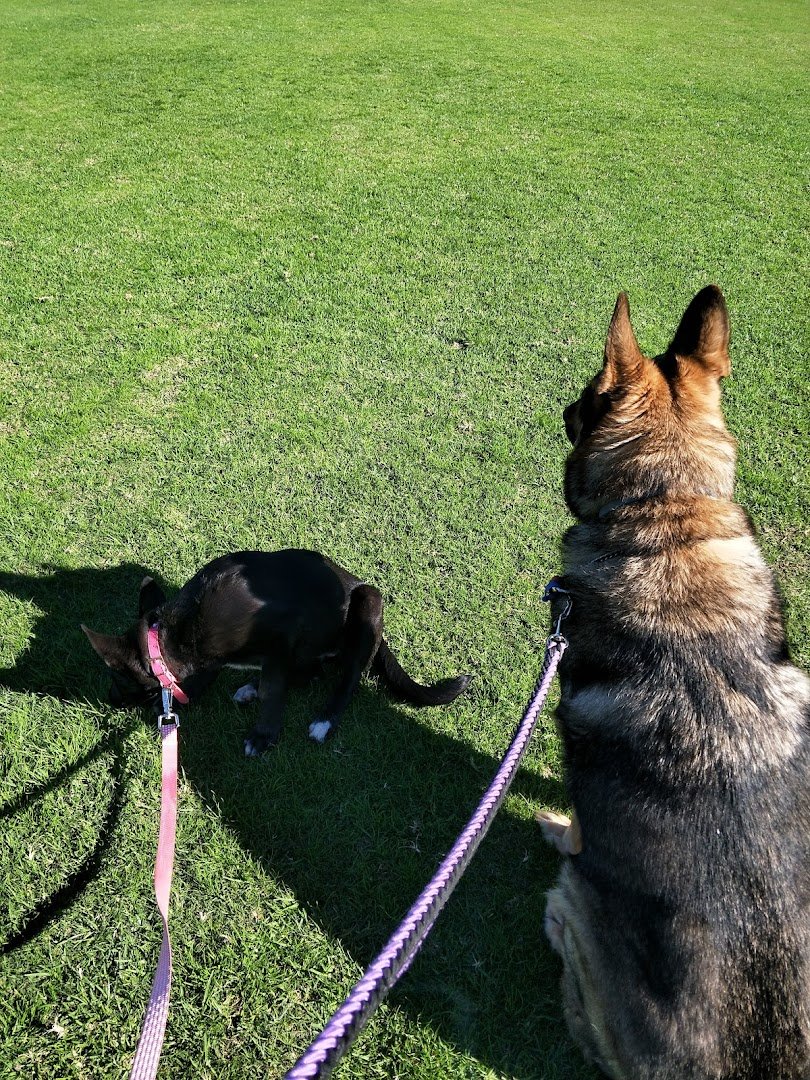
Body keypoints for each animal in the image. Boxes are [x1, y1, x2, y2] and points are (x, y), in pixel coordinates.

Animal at [83, 549, 471, 754]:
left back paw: (324, 720)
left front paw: (263, 736)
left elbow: (274, 690)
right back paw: (250, 687)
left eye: (119, 677)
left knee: (346, 680)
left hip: (368, 604)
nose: (108, 700)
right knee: (308, 675)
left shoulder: (283, 635)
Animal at [537, 287, 810, 1079]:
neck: (669, 517)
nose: (559, 406)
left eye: (583, 401)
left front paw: (557, 823)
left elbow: (576, 819)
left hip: (578, 903)